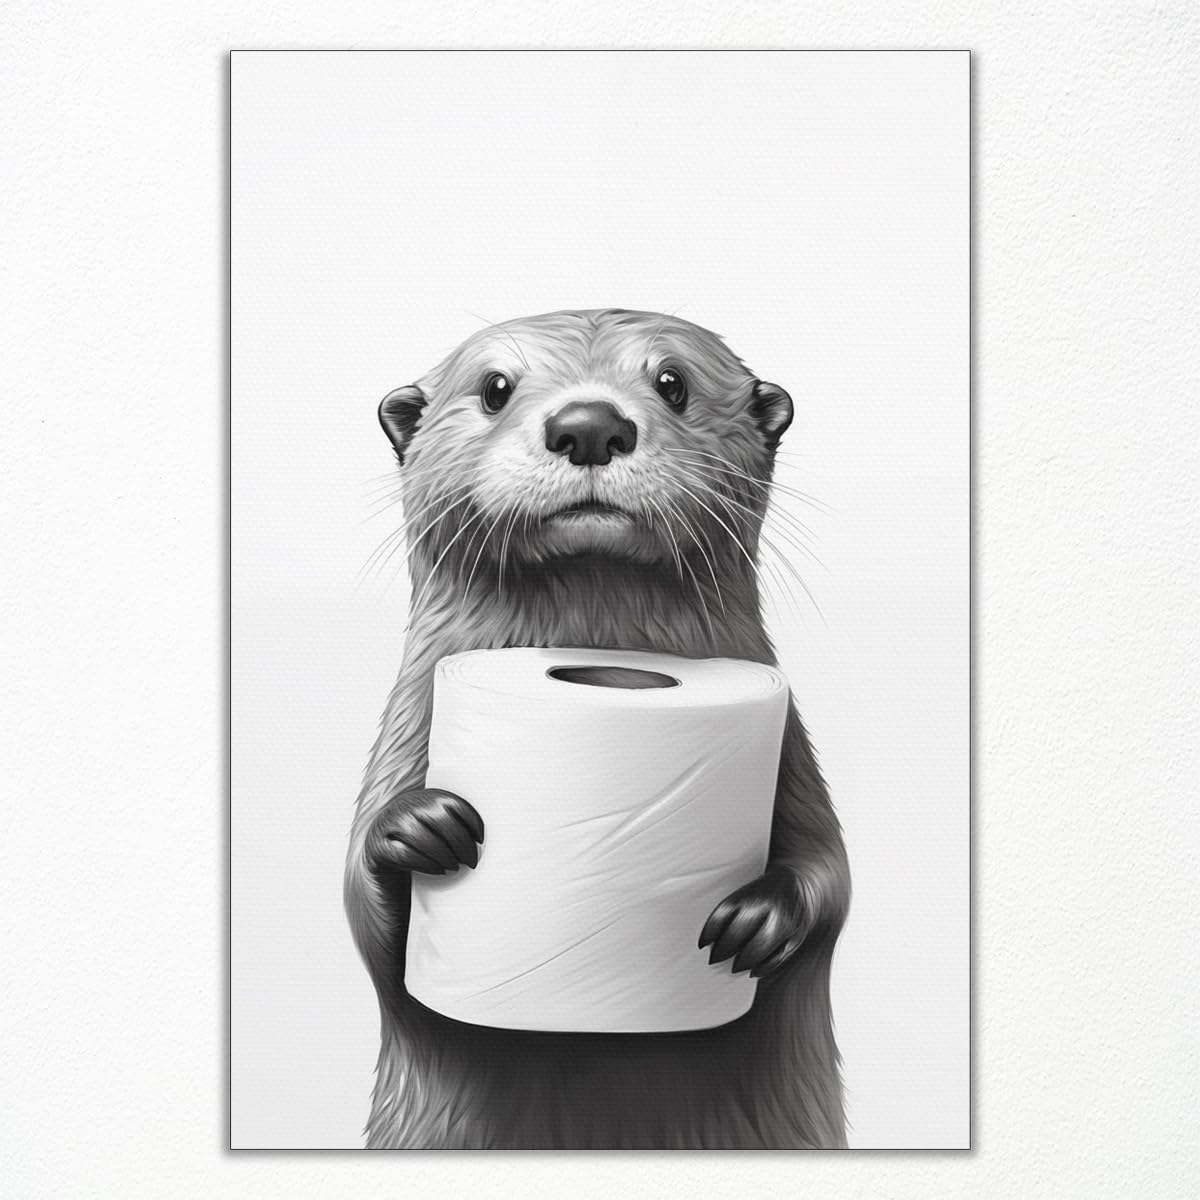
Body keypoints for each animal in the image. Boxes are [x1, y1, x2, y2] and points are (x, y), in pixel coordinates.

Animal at [344, 309, 850, 1149]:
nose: (588, 424)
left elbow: (832, 876)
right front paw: (417, 827)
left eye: (673, 382)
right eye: (495, 386)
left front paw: (759, 917)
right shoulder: (403, 736)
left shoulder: (793, 759)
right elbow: (366, 918)